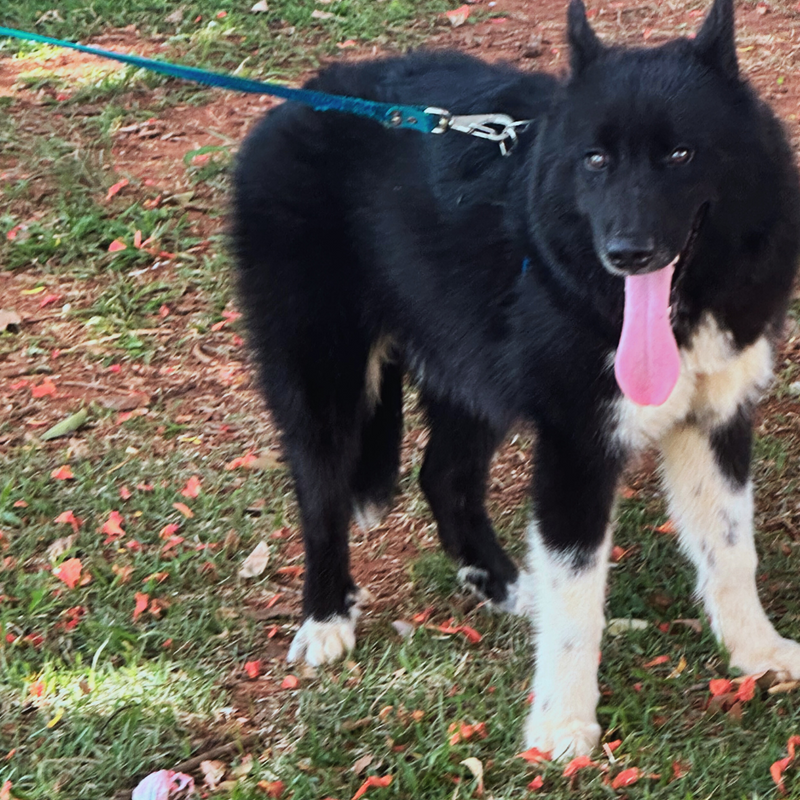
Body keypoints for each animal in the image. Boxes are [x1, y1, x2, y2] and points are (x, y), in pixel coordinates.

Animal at [234, 0, 800, 756]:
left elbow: (732, 554)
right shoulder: (576, 447)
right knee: (321, 497)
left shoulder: (713, 422)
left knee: (444, 478)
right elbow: (579, 599)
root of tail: (299, 102)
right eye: (596, 159)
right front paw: (562, 724)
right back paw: (326, 618)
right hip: (323, 378)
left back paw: (512, 591)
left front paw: (756, 653)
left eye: (681, 155)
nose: (627, 253)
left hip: (472, 374)